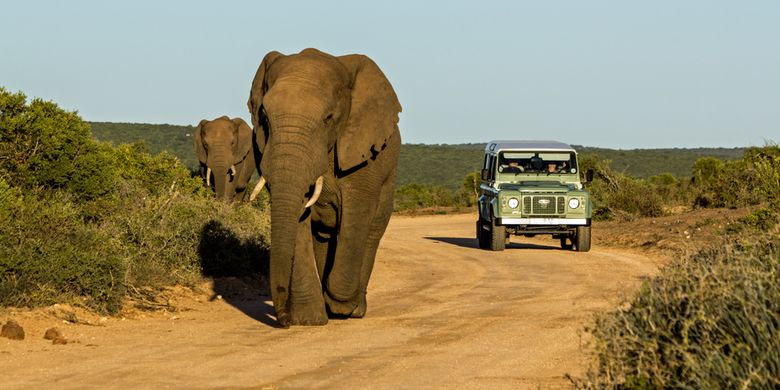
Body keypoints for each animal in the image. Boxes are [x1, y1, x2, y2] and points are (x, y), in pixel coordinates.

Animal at [247, 47, 400, 326]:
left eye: (328, 118)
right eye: (264, 117)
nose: (283, 319)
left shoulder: (363, 154)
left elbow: (357, 213)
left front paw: (340, 305)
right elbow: (298, 220)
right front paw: (308, 320)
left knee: (371, 231)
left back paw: (353, 310)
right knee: (323, 237)